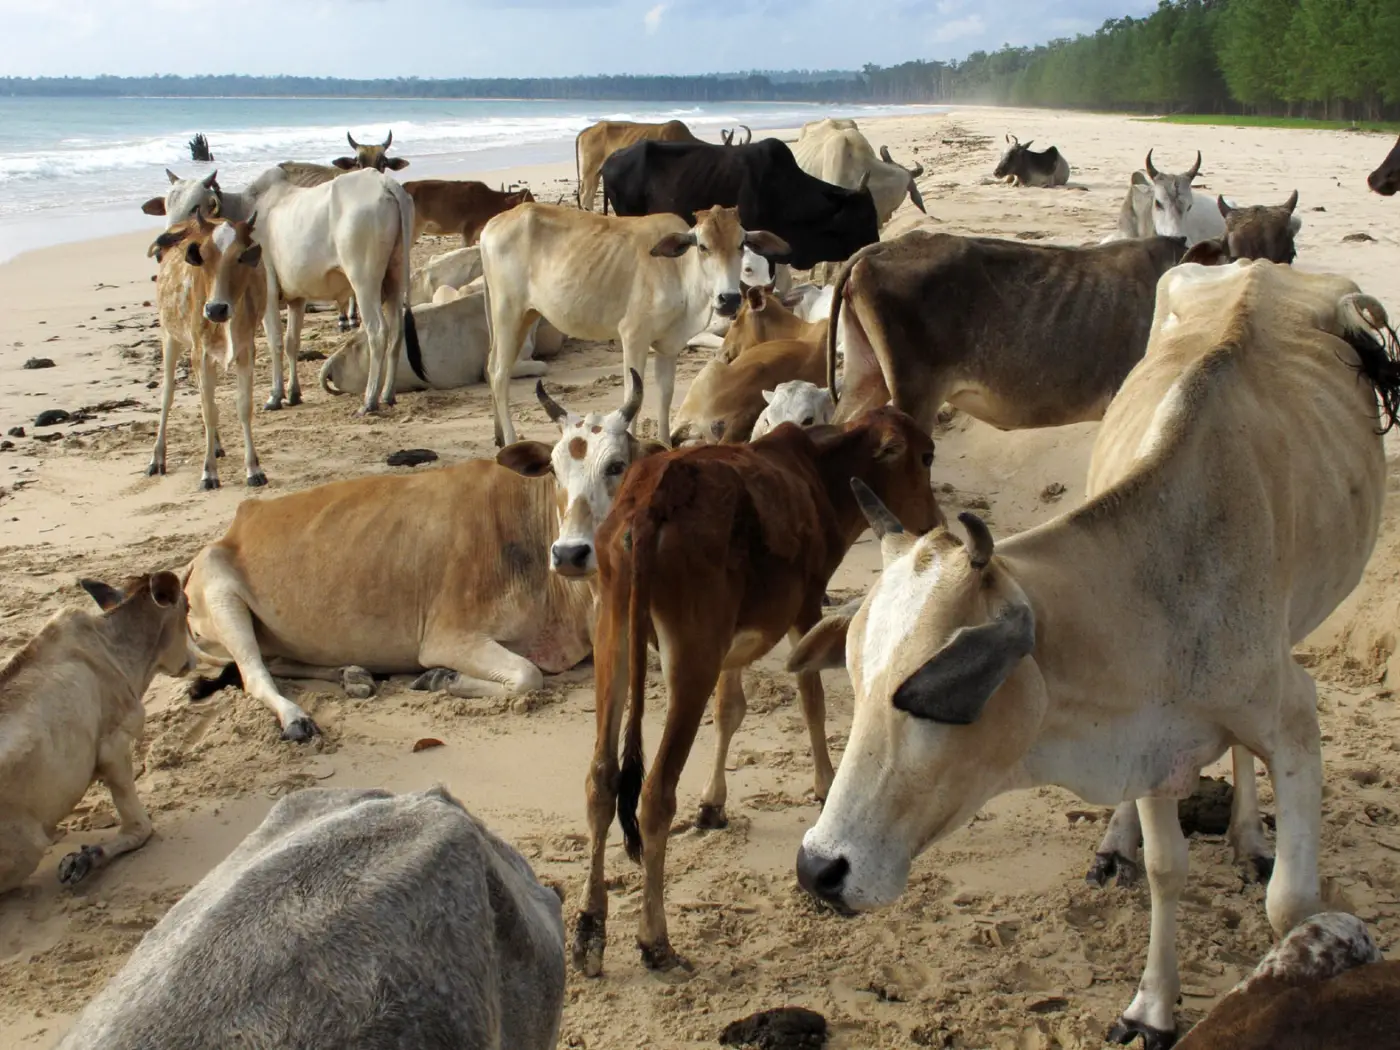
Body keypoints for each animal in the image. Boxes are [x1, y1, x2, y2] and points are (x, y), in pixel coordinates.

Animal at [1, 571, 194, 895]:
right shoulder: (115, 747)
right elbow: (139, 826)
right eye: (188, 607)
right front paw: (86, 859)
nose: (193, 657)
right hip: (28, 849)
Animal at [147, 215, 268, 490]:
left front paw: (254, 469)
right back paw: (157, 458)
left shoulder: (247, 350)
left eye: (241, 257)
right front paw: (209, 473)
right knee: (167, 395)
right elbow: (208, 412)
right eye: (202, 255)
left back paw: (217, 446)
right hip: (170, 336)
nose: (215, 309)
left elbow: (243, 407)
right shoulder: (199, 354)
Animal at [183, 382, 663, 740]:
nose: (569, 553)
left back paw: (353, 674)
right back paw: (297, 717)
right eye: (554, 470)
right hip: (222, 596)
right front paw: (440, 678)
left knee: (277, 660)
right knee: (254, 673)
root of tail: (233, 528)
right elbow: (529, 675)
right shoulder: (447, 637)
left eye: (617, 465)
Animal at [479, 202, 789, 447]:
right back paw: (509, 441)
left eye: (740, 245)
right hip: (509, 313)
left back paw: (498, 437)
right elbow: (633, 394)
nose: (728, 298)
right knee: (498, 373)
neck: (680, 272)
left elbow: (665, 394)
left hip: (525, 315)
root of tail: (491, 225)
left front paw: (664, 445)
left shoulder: (668, 346)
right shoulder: (633, 336)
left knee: (492, 366)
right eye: (703, 246)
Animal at [572, 406, 942, 976]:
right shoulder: (807, 604)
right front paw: (824, 784)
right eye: (925, 456)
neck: (817, 472)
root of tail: (651, 501)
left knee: (602, 779)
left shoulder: (733, 642)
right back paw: (655, 939)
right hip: (692, 653)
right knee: (655, 795)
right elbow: (811, 699)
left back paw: (590, 928)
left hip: (612, 634)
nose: (933, 523)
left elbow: (730, 709)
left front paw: (714, 804)